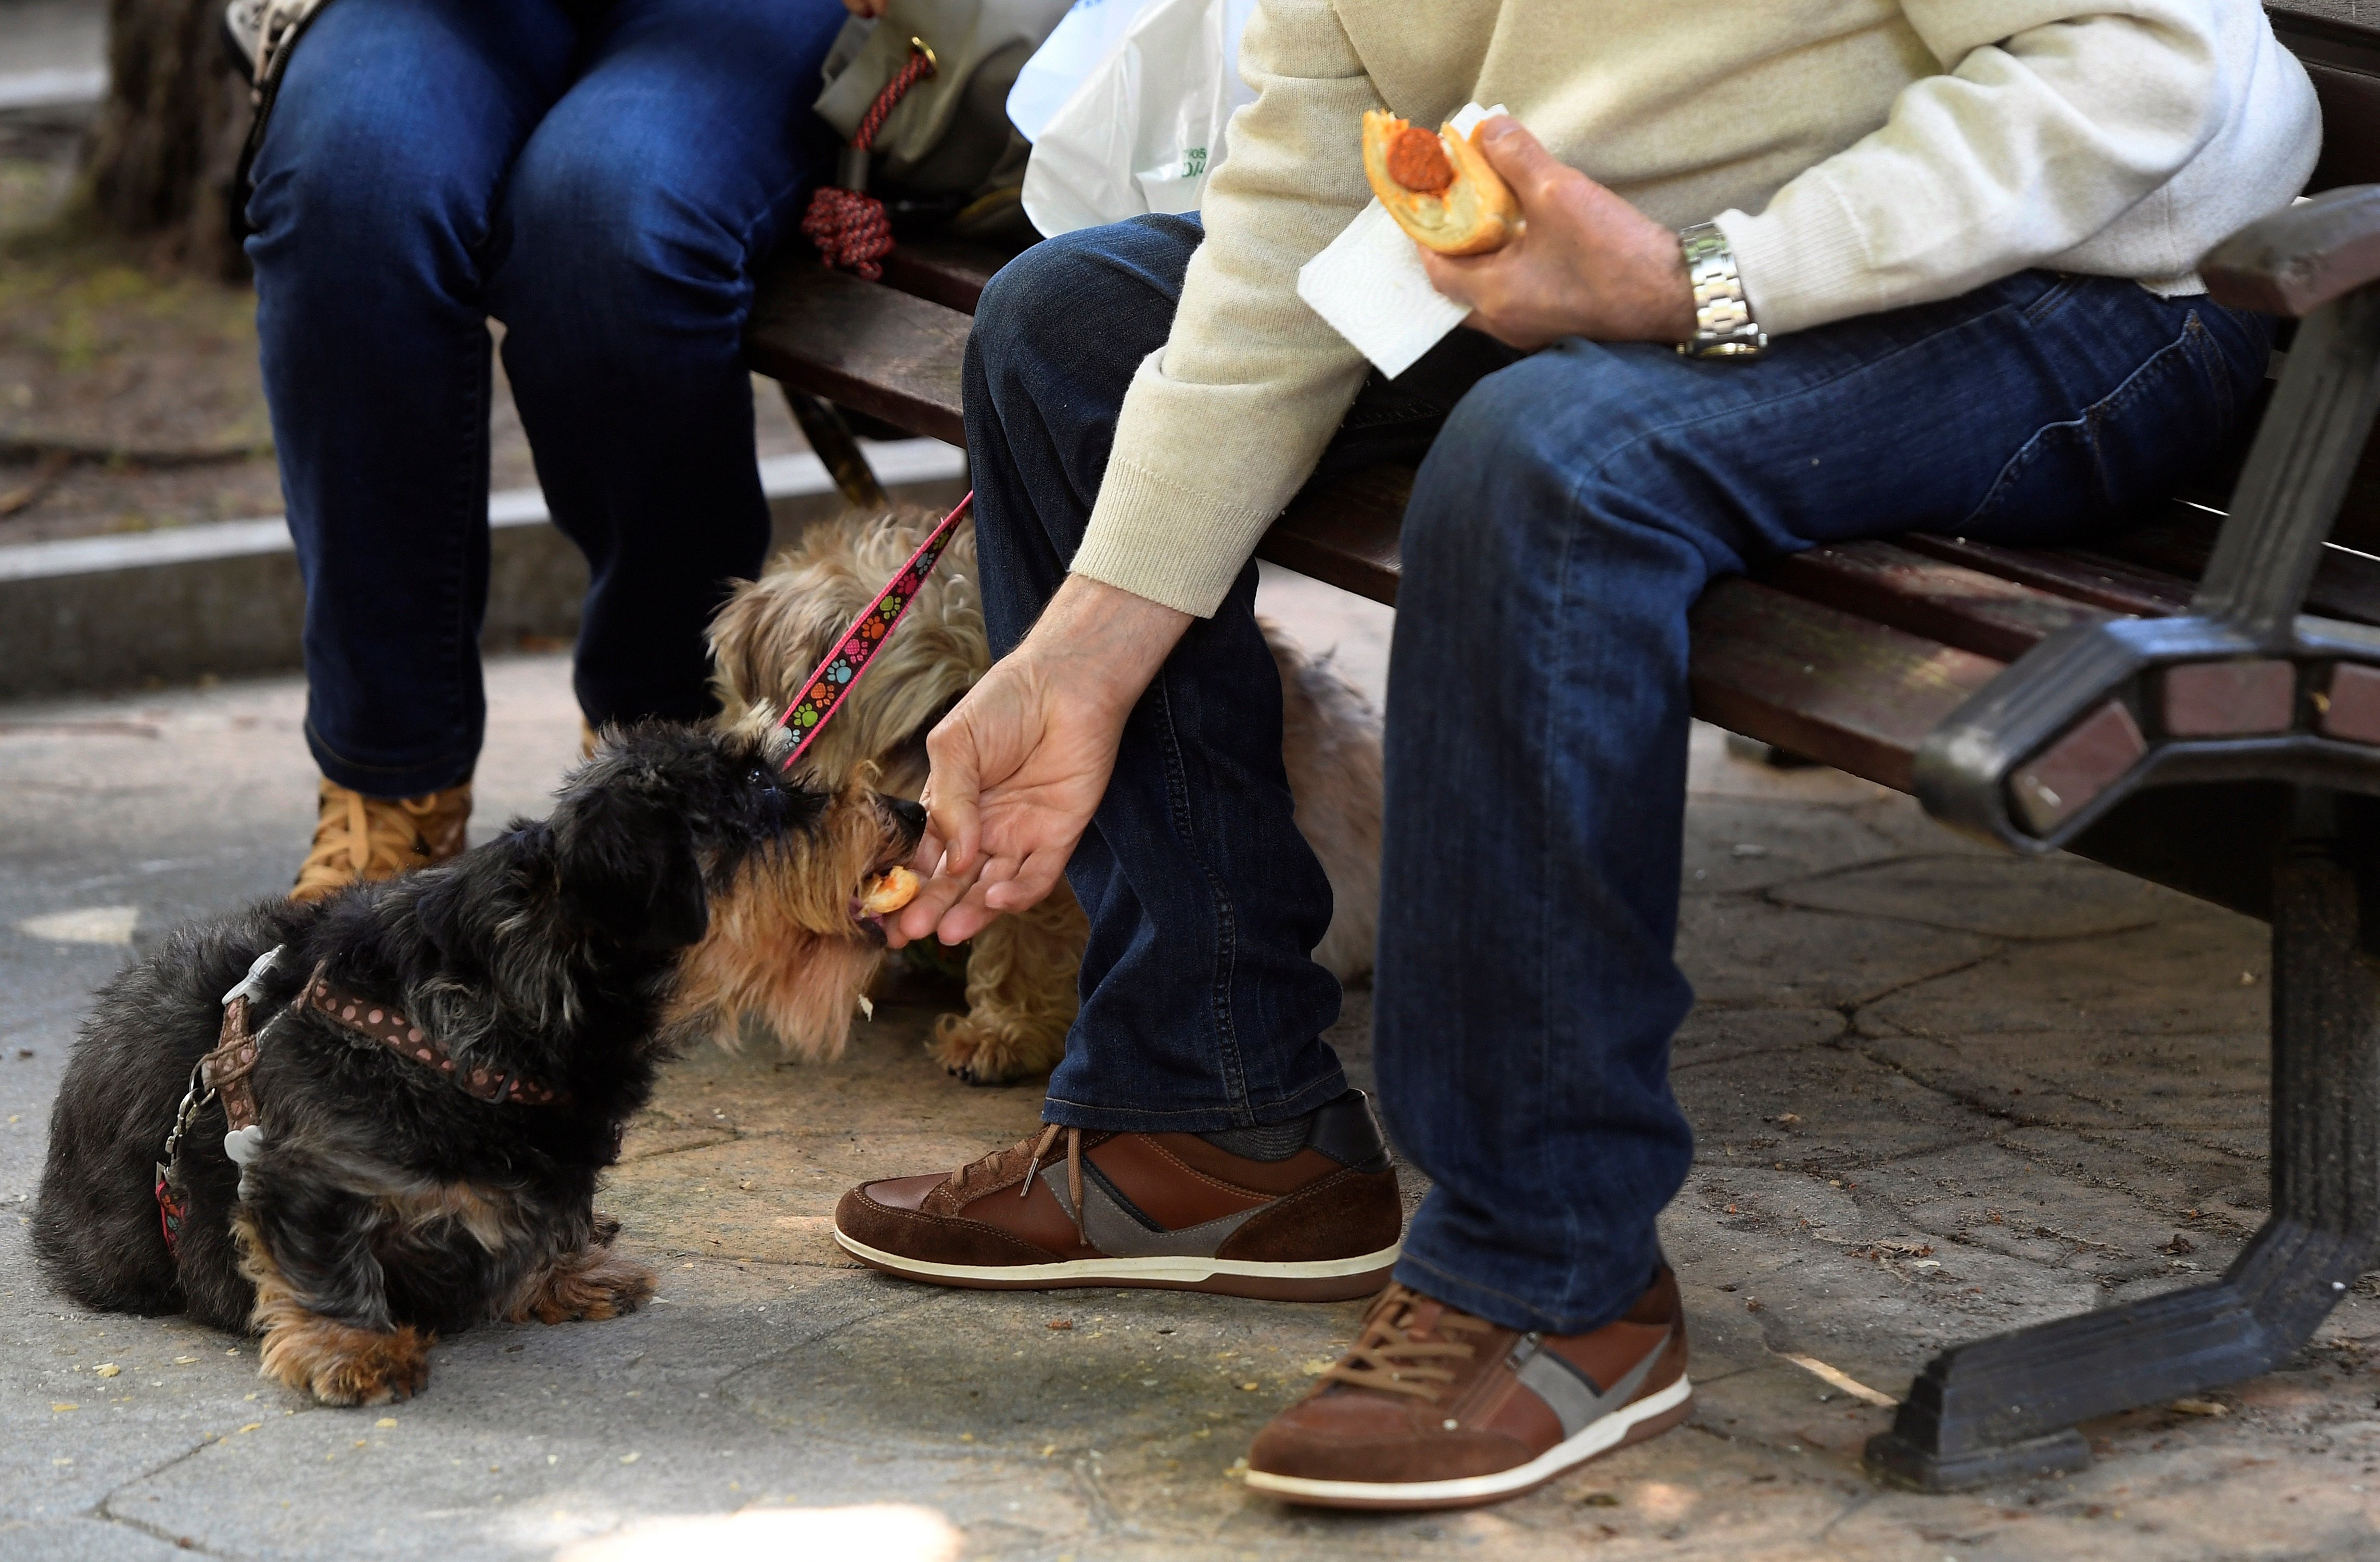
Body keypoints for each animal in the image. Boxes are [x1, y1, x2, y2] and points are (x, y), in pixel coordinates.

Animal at [34, 723, 919, 1409]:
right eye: (762, 790)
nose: (912, 809)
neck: (500, 1001)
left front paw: (566, 1272)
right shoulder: (306, 1167)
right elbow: (323, 1248)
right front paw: (352, 1347)